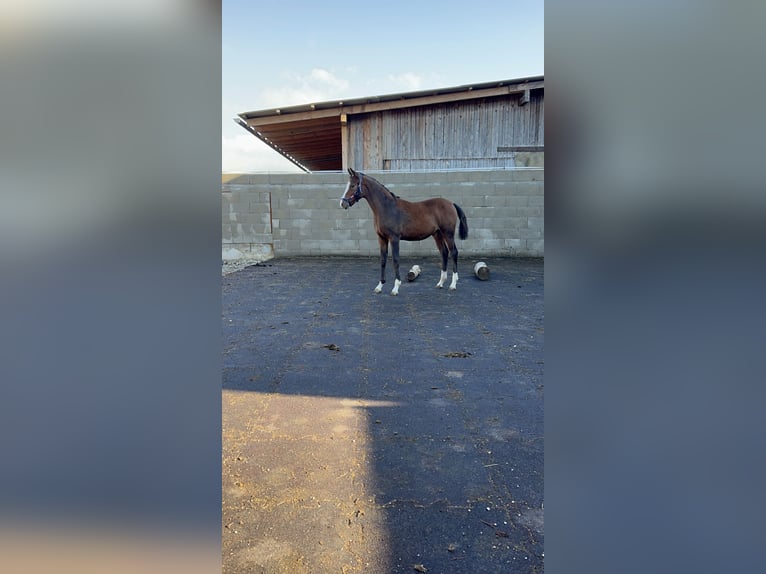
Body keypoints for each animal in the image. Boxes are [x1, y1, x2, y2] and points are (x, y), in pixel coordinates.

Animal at [340, 169, 468, 296]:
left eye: (352, 185)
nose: (342, 203)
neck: (387, 207)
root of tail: (451, 203)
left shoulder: (394, 238)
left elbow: (396, 260)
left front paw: (395, 288)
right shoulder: (382, 238)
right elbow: (383, 260)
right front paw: (379, 286)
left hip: (448, 233)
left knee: (453, 252)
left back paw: (453, 285)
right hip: (437, 234)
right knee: (444, 253)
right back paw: (440, 283)